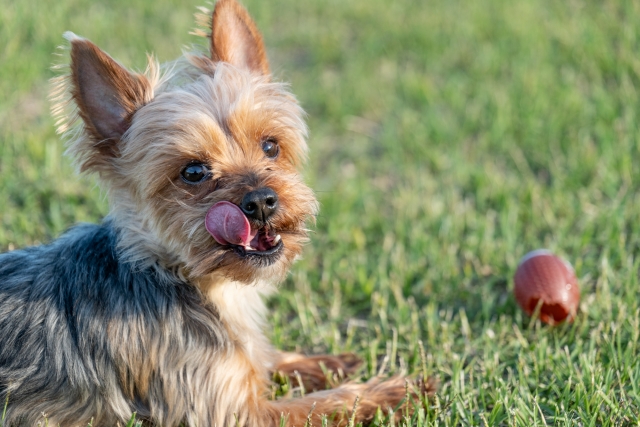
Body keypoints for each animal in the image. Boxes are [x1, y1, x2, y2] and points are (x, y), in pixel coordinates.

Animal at [0, 1, 432, 426]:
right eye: (193, 172)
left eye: (271, 146)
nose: (261, 201)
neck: (187, 278)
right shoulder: (229, 408)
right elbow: (323, 406)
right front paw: (394, 390)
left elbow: (267, 357)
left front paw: (330, 362)